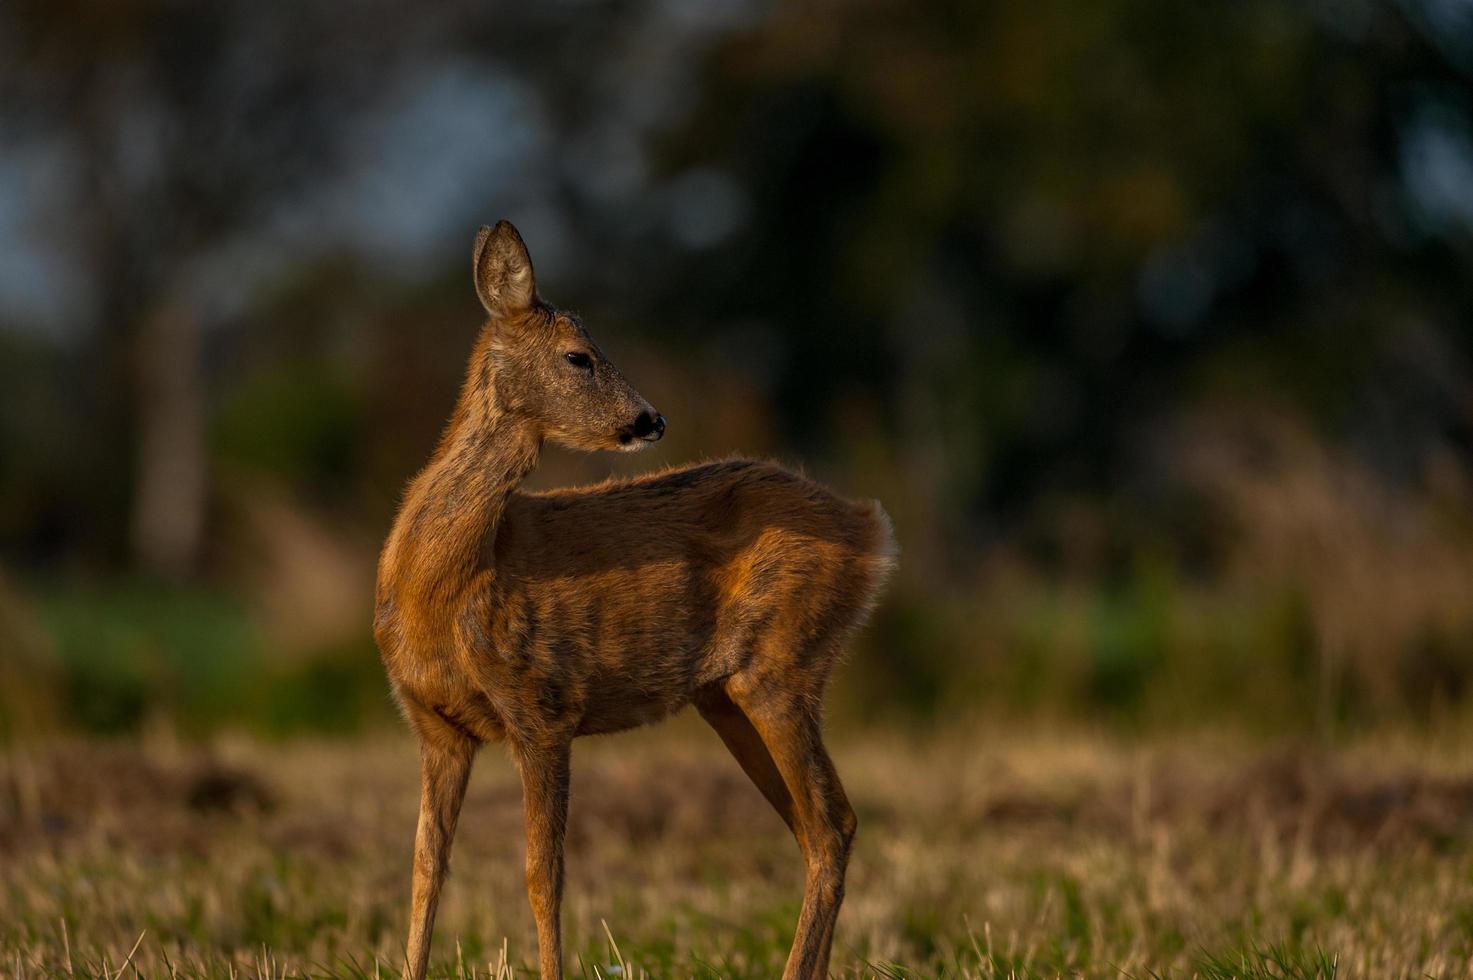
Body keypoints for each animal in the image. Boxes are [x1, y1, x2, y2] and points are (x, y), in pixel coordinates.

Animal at [377, 221, 895, 978]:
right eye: (579, 356)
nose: (650, 419)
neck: (451, 583)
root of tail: (869, 526)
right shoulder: (436, 727)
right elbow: (424, 870)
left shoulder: (542, 704)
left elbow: (542, 874)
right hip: (725, 694)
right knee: (818, 827)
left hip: (780, 663)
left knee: (831, 824)